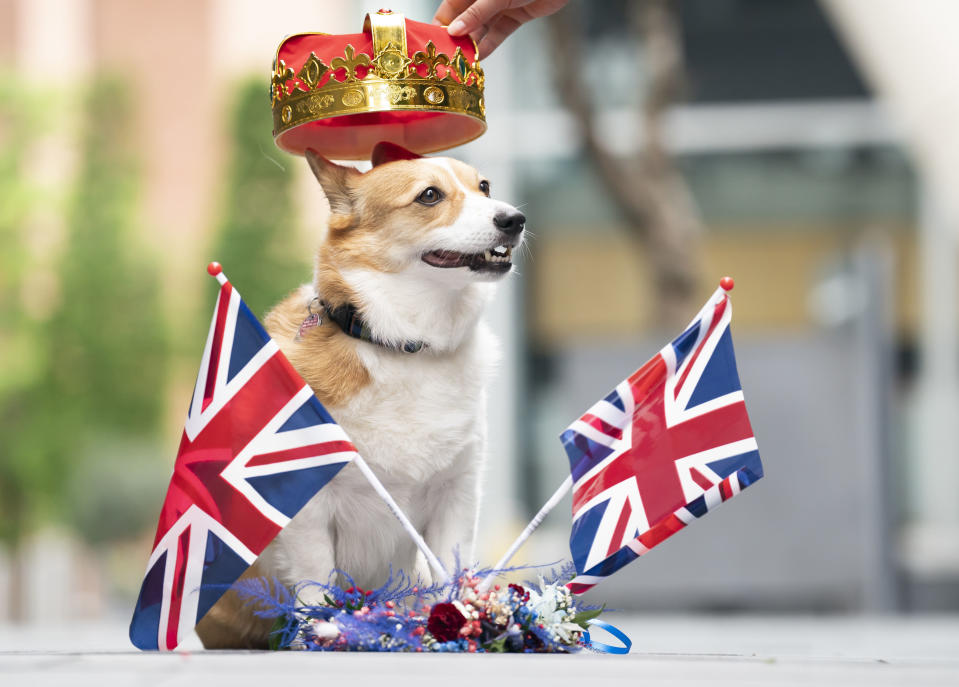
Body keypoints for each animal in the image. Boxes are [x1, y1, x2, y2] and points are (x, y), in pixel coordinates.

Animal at [195, 142, 524, 648]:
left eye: (484, 187)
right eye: (430, 195)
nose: (515, 219)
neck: (404, 345)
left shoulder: (456, 493)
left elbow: (447, 574)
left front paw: (458, 626)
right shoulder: (309, 506)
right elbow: (316, 582)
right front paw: (321, 637)